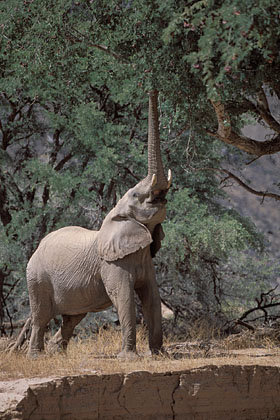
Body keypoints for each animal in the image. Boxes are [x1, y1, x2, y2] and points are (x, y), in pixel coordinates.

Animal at [26, 89, 171, 358]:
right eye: (136, 195)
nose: (151, 85)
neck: (115, 215)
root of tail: (37, 248)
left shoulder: (144, 257)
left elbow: (152, 296)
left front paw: (159, 355)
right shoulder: (112, 263)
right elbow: (123, 297)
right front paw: (129, 358)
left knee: (72, 318)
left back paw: (58, 354)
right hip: (37, 277)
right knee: (40, 317)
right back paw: (37, 356)